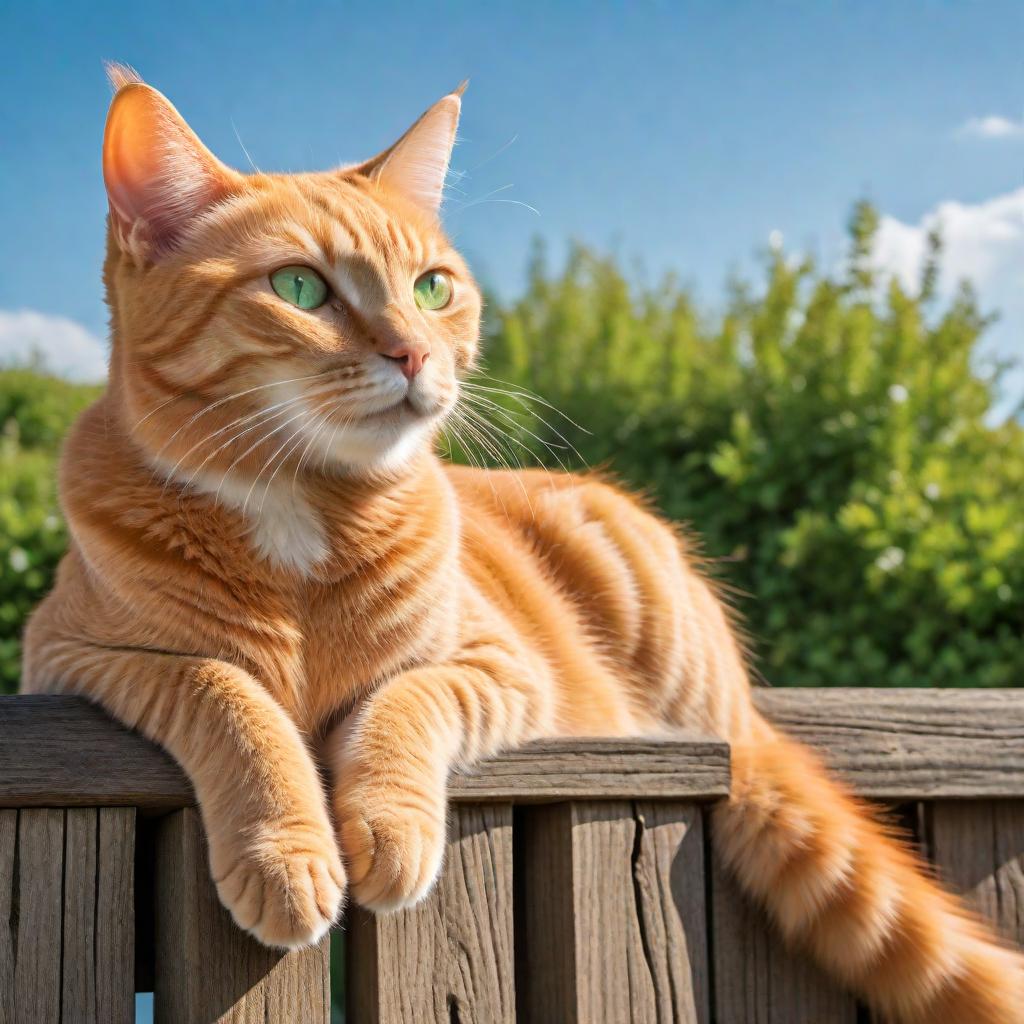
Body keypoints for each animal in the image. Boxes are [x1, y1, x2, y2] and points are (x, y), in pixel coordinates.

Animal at [24, 68, 1024, 1019]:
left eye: (432, 287)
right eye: (299, 287)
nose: (413, 354)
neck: (303, 511)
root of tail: (741, 712)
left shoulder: (500, 667)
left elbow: (404, 700)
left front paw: (388, 824)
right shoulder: (70, 661)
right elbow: (223, 690)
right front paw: (286, 850)